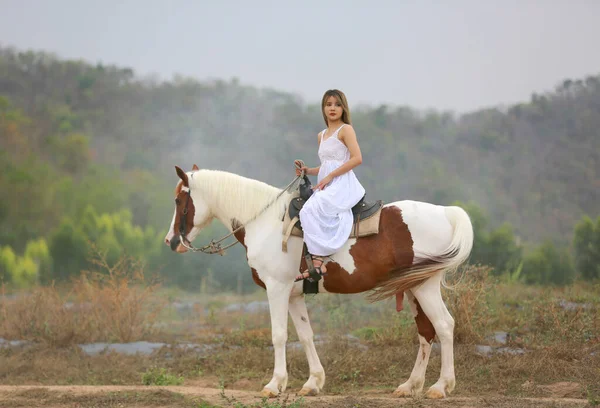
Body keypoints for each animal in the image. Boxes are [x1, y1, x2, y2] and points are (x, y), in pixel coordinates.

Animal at [164, 163, 474, 398]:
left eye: (179, 200)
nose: (171, 241)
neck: (267, 222)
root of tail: (446, 212)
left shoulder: (277, 289)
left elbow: (279, 335)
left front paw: (274, 385)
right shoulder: (293, 295)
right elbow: (305, 335)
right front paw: (313, 382)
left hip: (425, 286)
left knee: (444, 326)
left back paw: (440, 386)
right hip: (411, 288)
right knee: (426, 331)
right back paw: (410, 386)